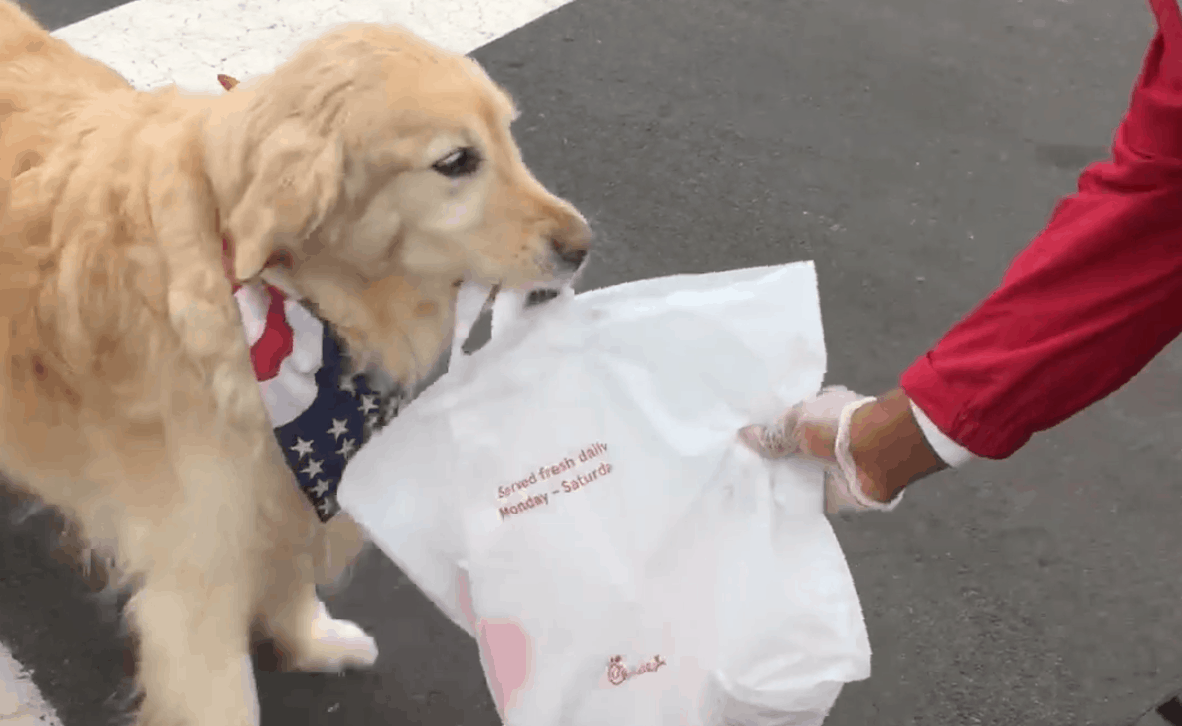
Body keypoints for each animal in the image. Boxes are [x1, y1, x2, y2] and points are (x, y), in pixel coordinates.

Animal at [0, 2, 591, 723]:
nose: (582, 247)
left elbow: (290, 574)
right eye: (457, 161)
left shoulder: (288, 490)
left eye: (508, 136)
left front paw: (311, 641)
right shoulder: (196, 575)